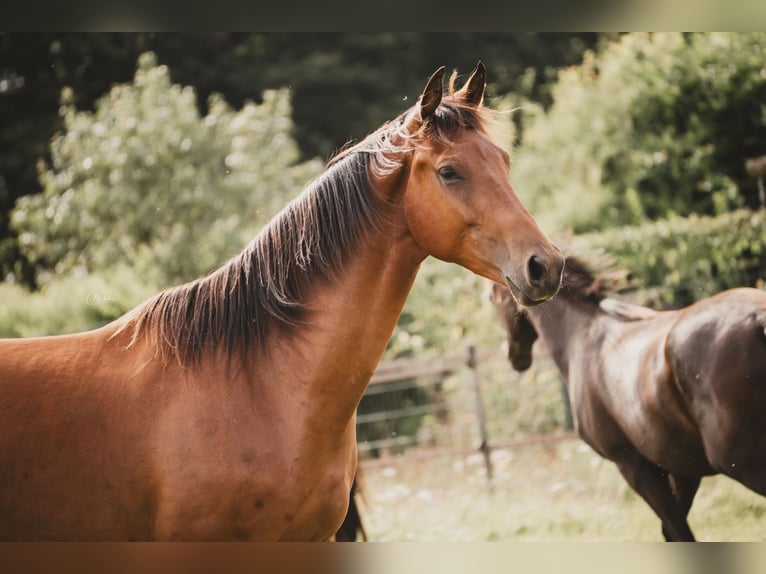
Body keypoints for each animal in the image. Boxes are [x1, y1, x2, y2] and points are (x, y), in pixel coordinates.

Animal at [492, 258, 766, 544]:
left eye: (492, 297)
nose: (513, 356)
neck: (581, 335)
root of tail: (758, 320)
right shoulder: (684, 469)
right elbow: (672, 531)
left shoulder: (633, 465)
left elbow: (677, 531)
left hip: (741, 463)